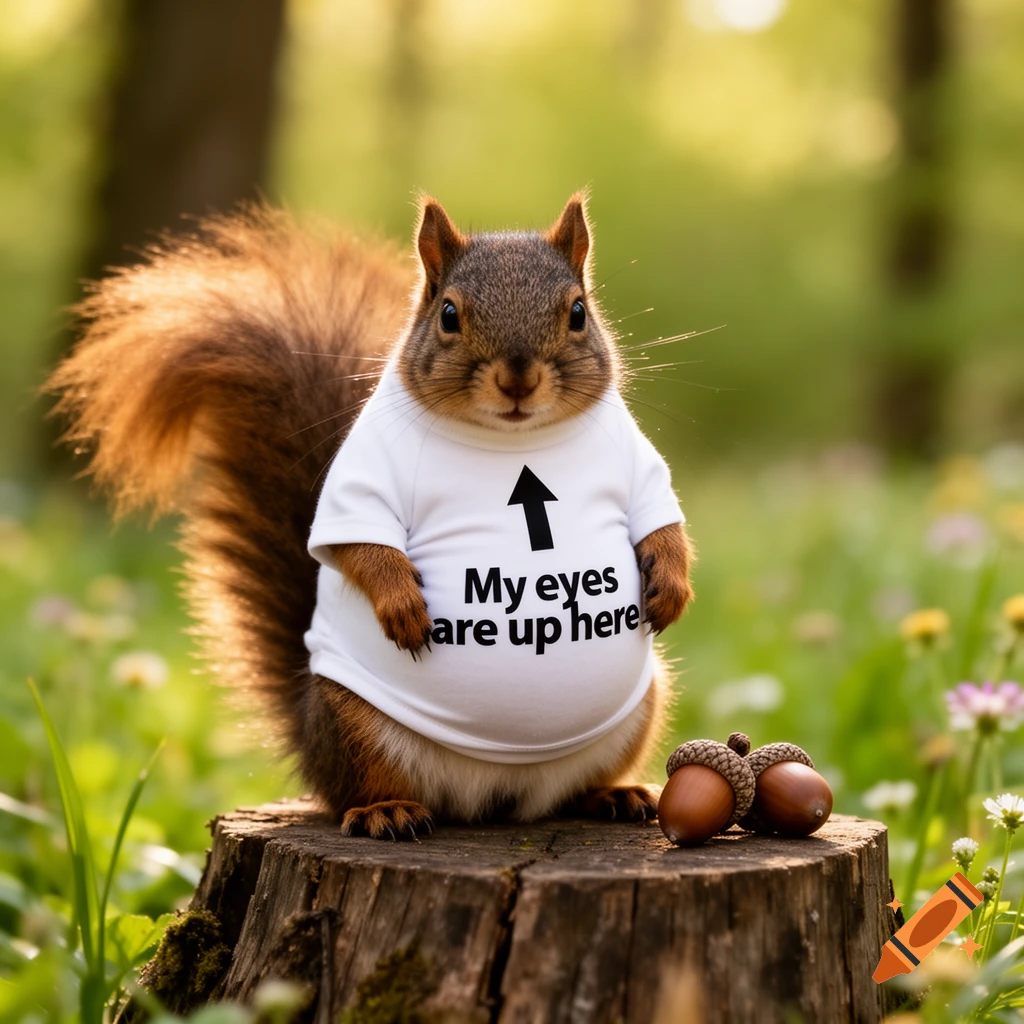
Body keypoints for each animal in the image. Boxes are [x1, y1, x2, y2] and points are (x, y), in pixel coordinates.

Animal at [48, 193, 695, 840]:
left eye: (579, 313)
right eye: (449, 314)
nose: (519, 377)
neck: (513, 440)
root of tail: (493, 800)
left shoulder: (634, 465)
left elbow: (664, 529)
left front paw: (671, 588)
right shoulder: (364, 480)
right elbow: (363, 549)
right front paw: (402, 604)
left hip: (639, 707)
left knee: (574, 790)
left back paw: (615, 793)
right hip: (355, 724)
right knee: (357, 791)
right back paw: (386, 810)